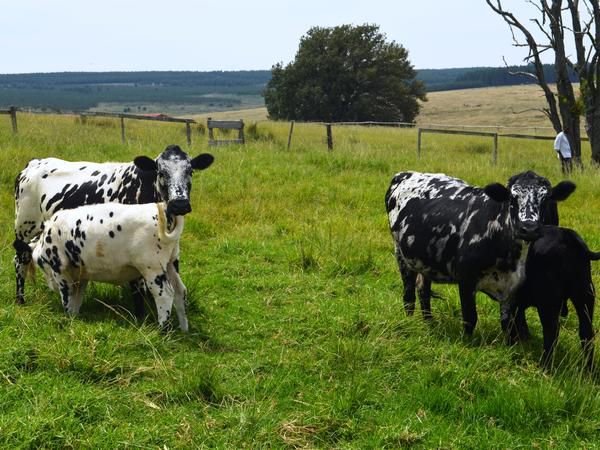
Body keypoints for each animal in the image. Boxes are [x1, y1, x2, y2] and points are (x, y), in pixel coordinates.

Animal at [12, 142, 214, 312]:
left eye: (190, 171)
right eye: (161, 172)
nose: (180, 204)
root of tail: (34, 162)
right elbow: (138, 287)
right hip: (24, 226)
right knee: (20, 259)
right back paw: (20, 300)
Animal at [29, 203, 188, 330]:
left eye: (42, 264)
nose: (51, 287)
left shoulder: (60, 271)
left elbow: (67, 298)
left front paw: (68, 319)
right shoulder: (82, 276)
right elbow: (76, 300)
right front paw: (75, 319)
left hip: (152, 268)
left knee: (165, 295)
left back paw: (162, 330)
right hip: (171, 263)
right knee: (180, 291)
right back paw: (184, 329)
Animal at [386, 171, 576, 334]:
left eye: (546, 199)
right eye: (512, 199)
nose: (529, 228)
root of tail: (405, 174)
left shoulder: (512, 288)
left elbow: (508, 324)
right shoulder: (466, 279)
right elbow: (470, 318)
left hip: (424, 261)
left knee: (423, 289)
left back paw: (428, 321)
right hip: (401, 256)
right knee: (409, 296)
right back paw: (410, 321)